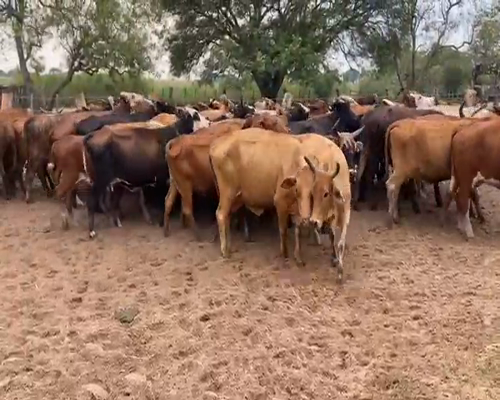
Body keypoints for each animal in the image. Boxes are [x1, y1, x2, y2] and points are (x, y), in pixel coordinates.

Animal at [83, 108, 194, 238]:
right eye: (196, 117)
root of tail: (94, 134)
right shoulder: (161, 179)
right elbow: (162, 201)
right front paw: (160, 223)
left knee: (110, 203)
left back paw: (116, 222)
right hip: (101, 179)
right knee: (92, 201)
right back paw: (92, 231)